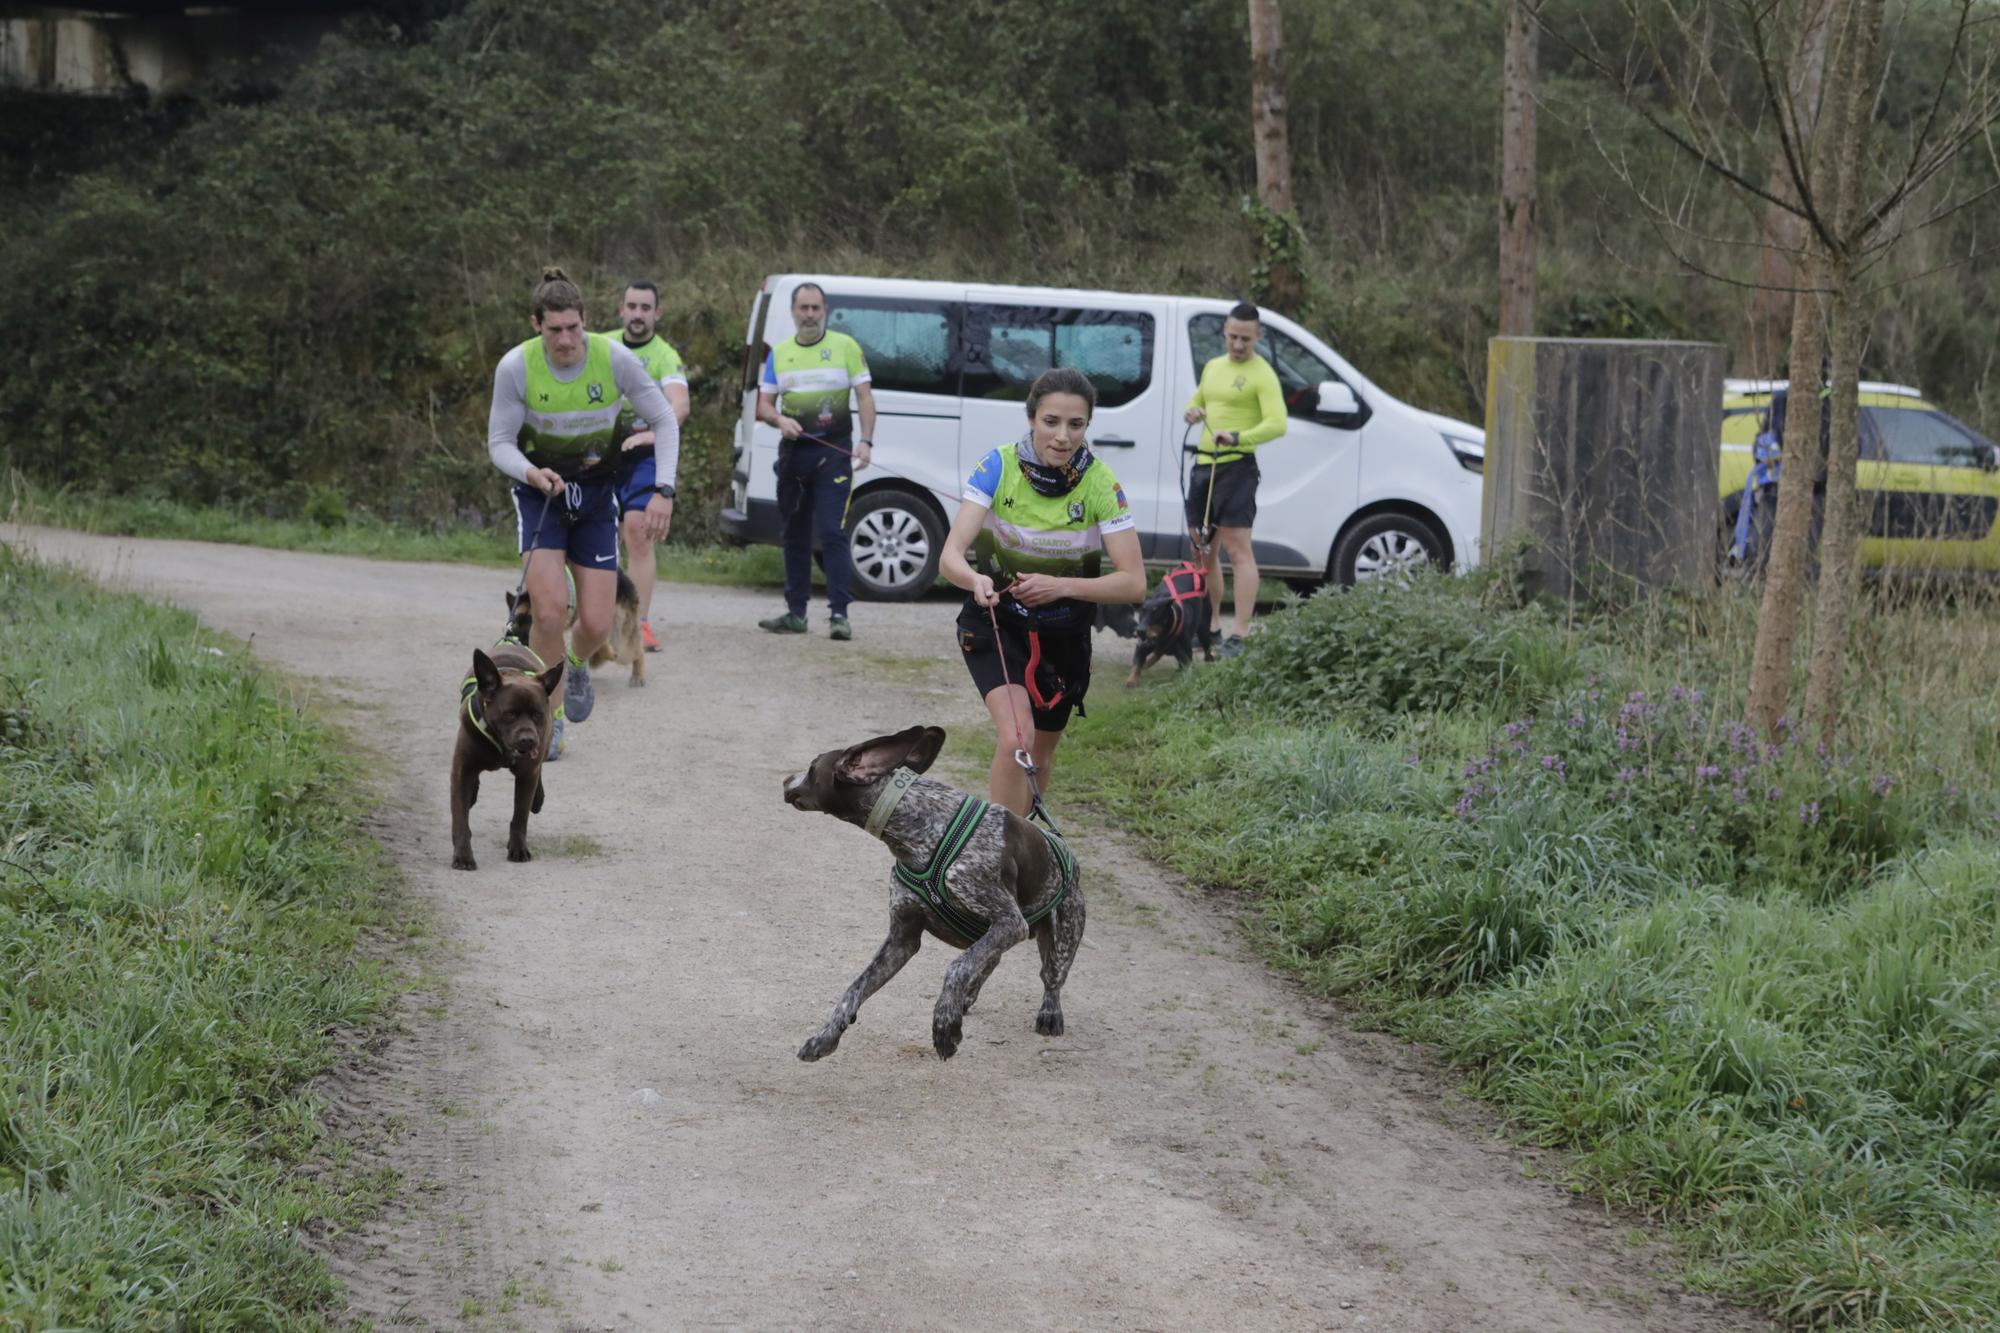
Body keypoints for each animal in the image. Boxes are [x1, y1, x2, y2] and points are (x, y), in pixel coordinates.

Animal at [504, 564, 644, 684]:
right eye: (515, 622)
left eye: (531, 626)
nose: (516, 645)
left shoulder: (590, 622)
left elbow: (600, 641)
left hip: (620, 635)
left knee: (637, 650)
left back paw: (637, 675)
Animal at [784, 720, 1096, 1056]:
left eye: (813, 766)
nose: (786, 779)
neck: (923, 829)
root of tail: (1061, 842)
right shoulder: (902, 940)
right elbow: (855, 987)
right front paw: (825, 1035)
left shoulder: (1009, 921)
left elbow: (957, 966)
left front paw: (945, 1023)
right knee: (992, 959)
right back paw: (967, 997)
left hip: (1060, 940)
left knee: (1050, 978)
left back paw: (1048, 1012)